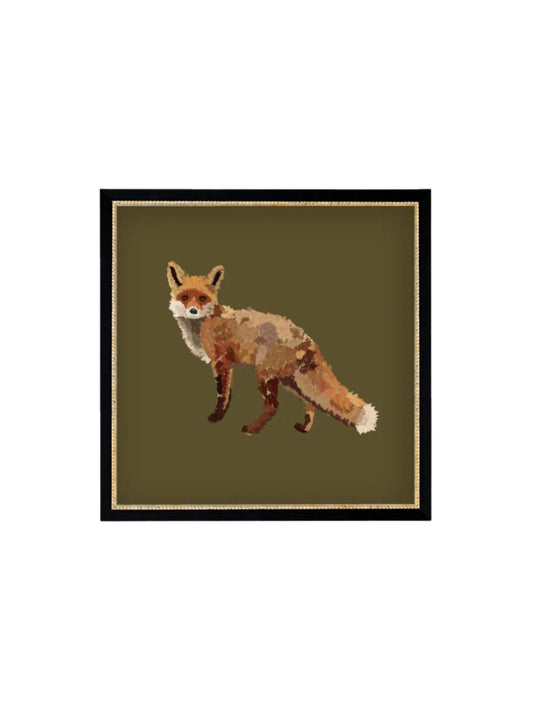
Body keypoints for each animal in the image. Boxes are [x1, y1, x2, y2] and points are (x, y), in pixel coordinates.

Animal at [167, 262, 378, 436]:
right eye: (185, 297)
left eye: (202, 298)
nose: (193, 310)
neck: (204, 323)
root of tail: (306, 338)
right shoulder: (228, 365)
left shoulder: (221, 361)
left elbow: (223, 394)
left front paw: (217, 417)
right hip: (290, 380)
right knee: (310, 403)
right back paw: (304, 428)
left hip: (265, 375)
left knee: (273, 405)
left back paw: (252, 430)